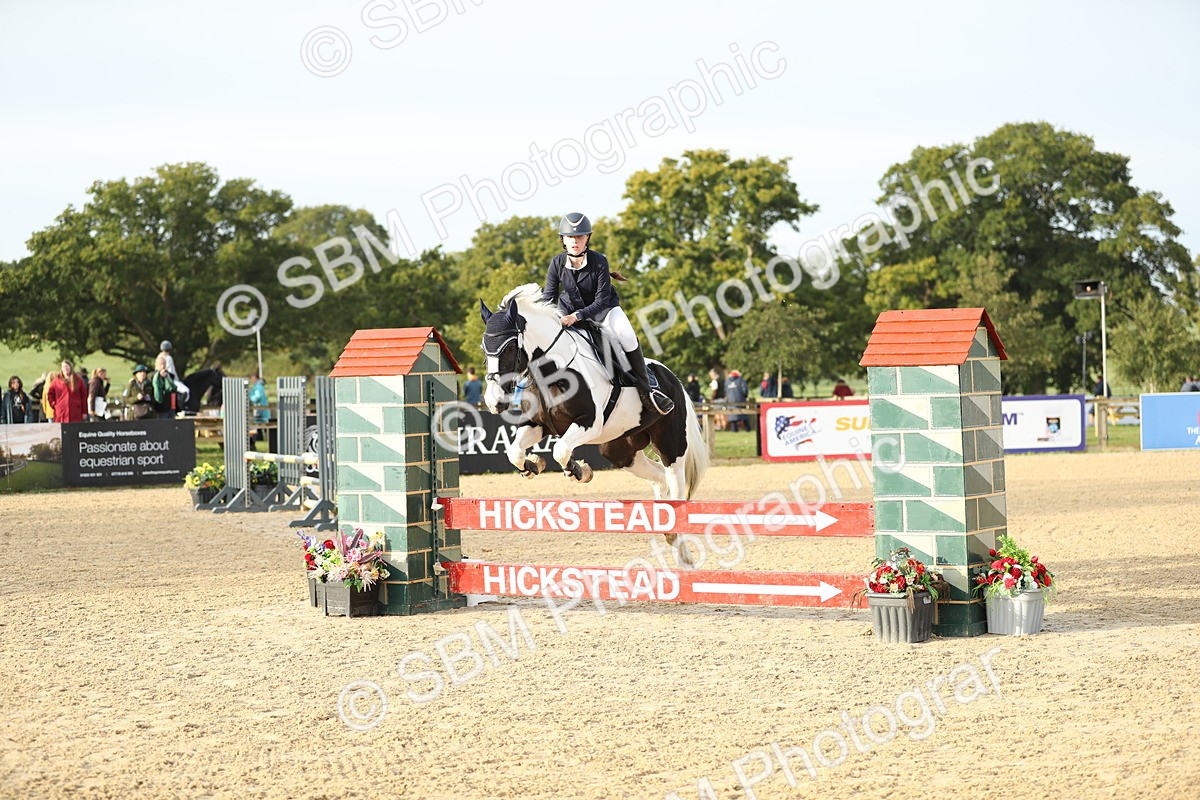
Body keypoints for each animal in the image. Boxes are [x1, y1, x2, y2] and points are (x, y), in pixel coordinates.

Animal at [480, 284, 709, 562]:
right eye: (484, 349)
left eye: (511, 348)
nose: (494, 402)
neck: (552, 371)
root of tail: (672, 377)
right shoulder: (537, 425)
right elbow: (514, 452)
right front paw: (533, 465)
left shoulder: (589, 423)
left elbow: (561, 450)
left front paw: (578, 471)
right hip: (620, 449)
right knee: (658, 477)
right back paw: (666, 527)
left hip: (670, 444)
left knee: (675, 483)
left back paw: (682, 549)